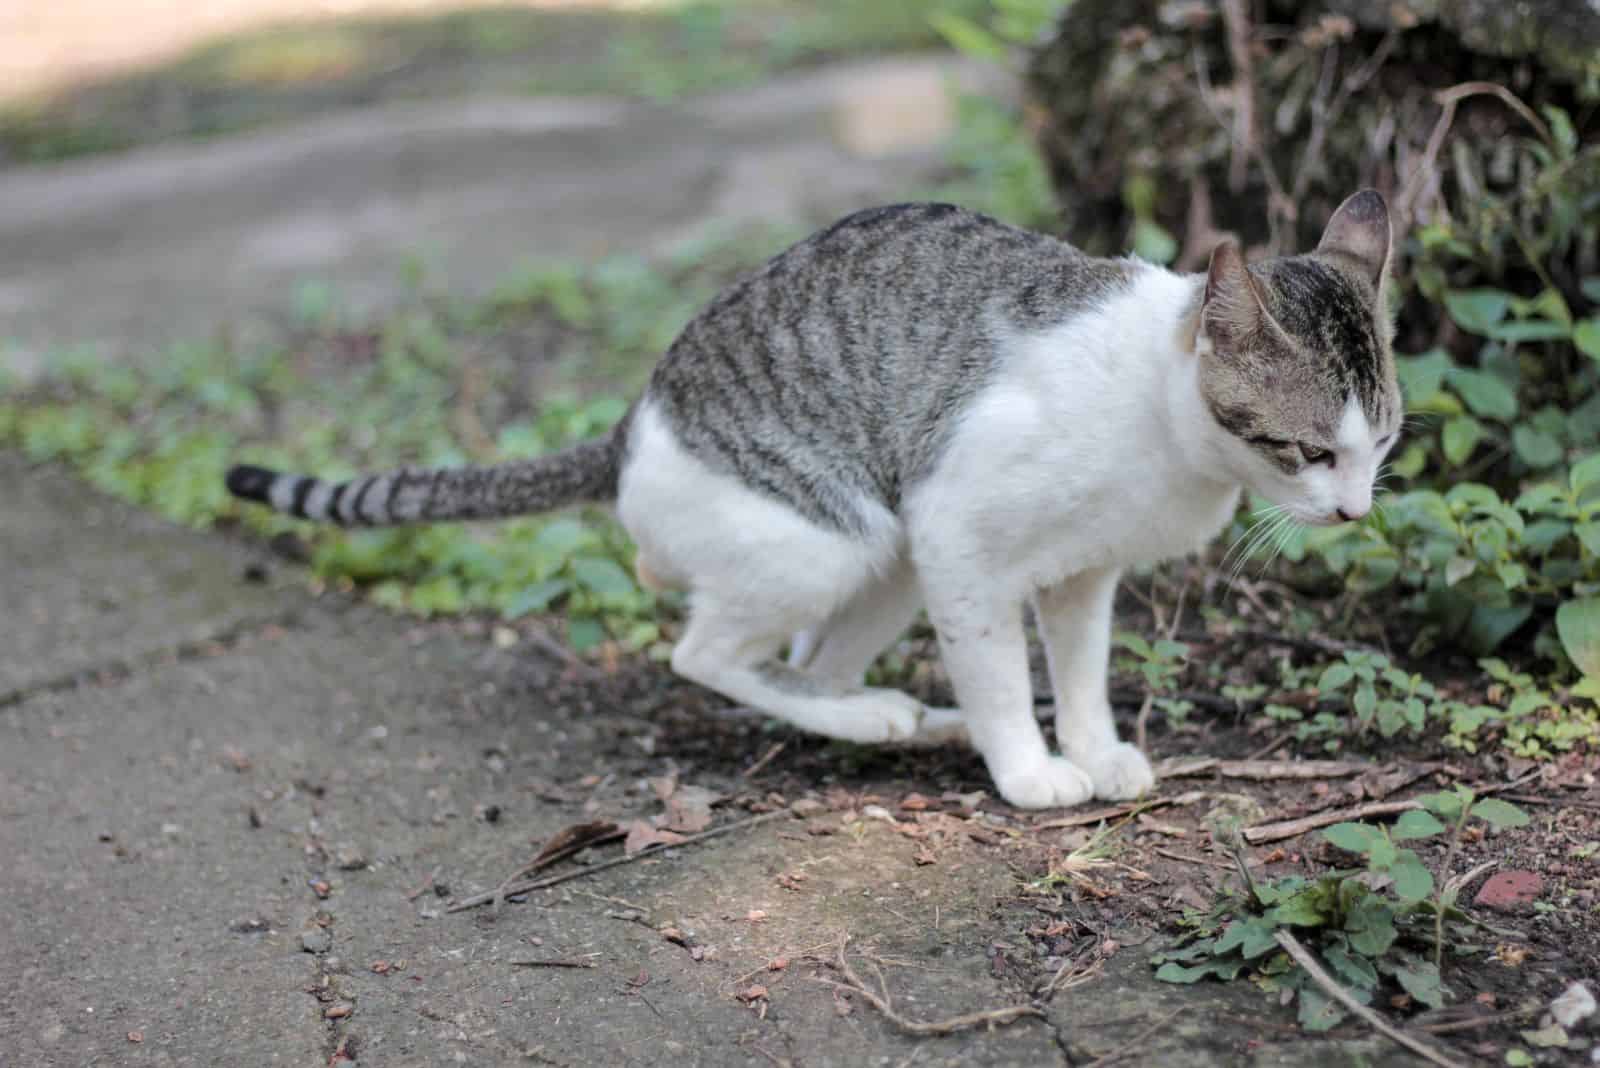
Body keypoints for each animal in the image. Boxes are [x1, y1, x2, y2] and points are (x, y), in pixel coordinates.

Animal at [225, 189, 1401, 808]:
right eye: (1307, 451)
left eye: (1381, 444)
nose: (1356, 514)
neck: (1158, 422)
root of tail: (632, 424)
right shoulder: (958, 534)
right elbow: (999, 674)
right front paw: (1030, 771)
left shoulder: (1082, 574)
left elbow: (1080, 672)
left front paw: (1090, 747)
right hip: (847, 533)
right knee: (703, 656)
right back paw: (887, 717)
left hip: (886, 561)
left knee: (806, 662)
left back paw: (895, 718)